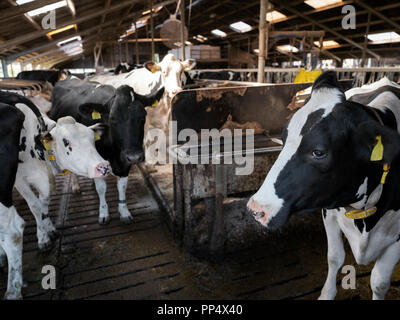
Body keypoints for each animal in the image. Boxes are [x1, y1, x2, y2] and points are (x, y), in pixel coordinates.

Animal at [50, 79, 164, 225]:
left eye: (143, 116)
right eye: (112, 118)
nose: (134, 156)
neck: (113, 152)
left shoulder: (124, 162)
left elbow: (122, 187)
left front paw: (124, 212)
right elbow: (101, 189)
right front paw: (103, 213)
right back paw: (76, 186)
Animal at [247, 71, 400, 298]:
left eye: (318, 152)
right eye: (284, 138)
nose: (256, 209)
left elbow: (379, 283)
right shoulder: (329, 211)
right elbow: (335, 257)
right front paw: (326, 294)